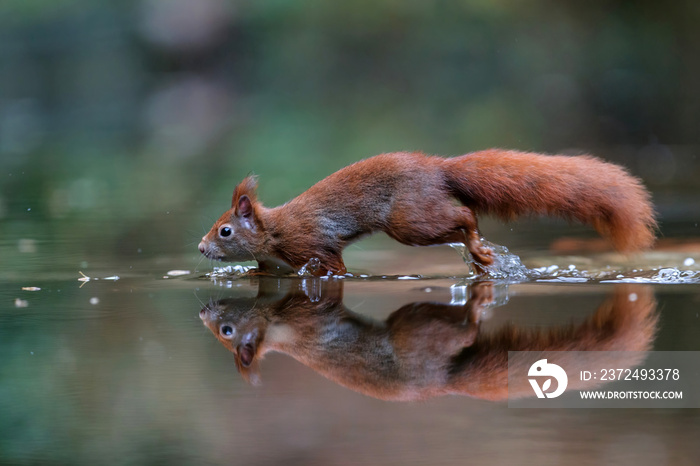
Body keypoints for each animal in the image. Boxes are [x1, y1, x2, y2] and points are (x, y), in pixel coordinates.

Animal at [198, 149, 656, 274]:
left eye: (224, 231)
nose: (201, 248)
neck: (271, 232)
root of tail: (437, 167)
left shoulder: (311, 244)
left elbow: (334, 268)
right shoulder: (273, 267)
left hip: (410, 220)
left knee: (465, 217)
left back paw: (478, 248)